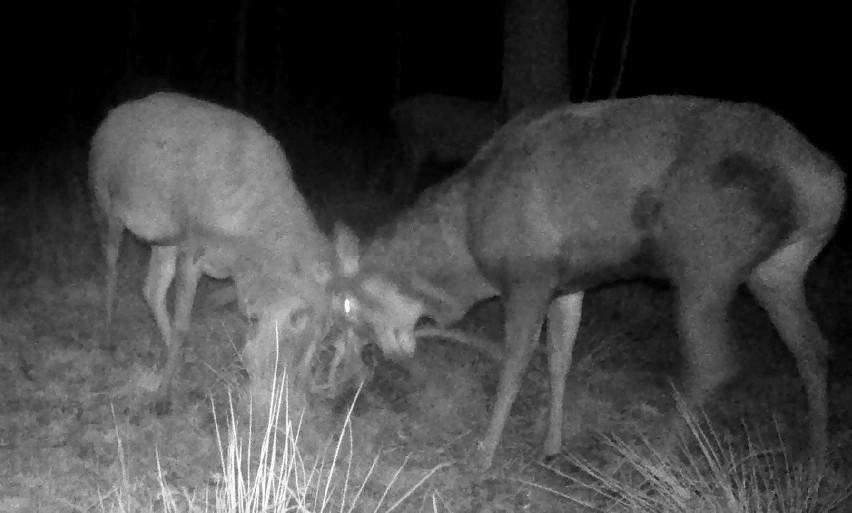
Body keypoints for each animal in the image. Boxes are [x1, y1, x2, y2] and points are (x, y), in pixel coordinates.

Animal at [89, 92, 422, 410]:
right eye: (299, 323)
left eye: (326, 333)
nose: (296, 392)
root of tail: (108, 119)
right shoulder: (193, 245)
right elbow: (184, 323)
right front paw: (162, 394)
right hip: (106, 204)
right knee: (111, 266)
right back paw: (107, 333)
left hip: (163, 239)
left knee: (151, 288)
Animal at [360, 94, 844, 470]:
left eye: (361, 303)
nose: (380, 354)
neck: (468, 248)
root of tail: (827, 187)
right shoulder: (569, 283)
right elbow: (560, 358)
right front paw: (551, 445)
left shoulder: (530, 276)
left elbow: (517, 362)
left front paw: (484, 454)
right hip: (778, 271)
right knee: (812, 347)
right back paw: (815, 462)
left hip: (708, 261)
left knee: (714, 364)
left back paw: (648, 462)